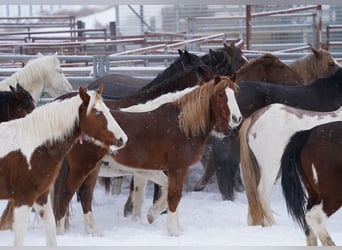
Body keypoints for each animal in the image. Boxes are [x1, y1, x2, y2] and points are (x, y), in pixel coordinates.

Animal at [0, 85, 127, 245]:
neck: (32, 145)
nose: (123, 138)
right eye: (97, 112)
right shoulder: (23, 198)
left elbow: (51, 229)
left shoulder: (41, 196)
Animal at [51, 74, 240, 236]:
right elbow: (174, 195)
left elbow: (166, 193)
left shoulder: (155, 170)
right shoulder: (177, 168)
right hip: (81, 168)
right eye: (220, 95)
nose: (237, 118)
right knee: (65, 195)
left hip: (92, 169)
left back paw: (92, 232)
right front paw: (173, 231)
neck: (181, 123)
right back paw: (60, 233)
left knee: (85, 195)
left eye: (235, 93)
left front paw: (155, 217)